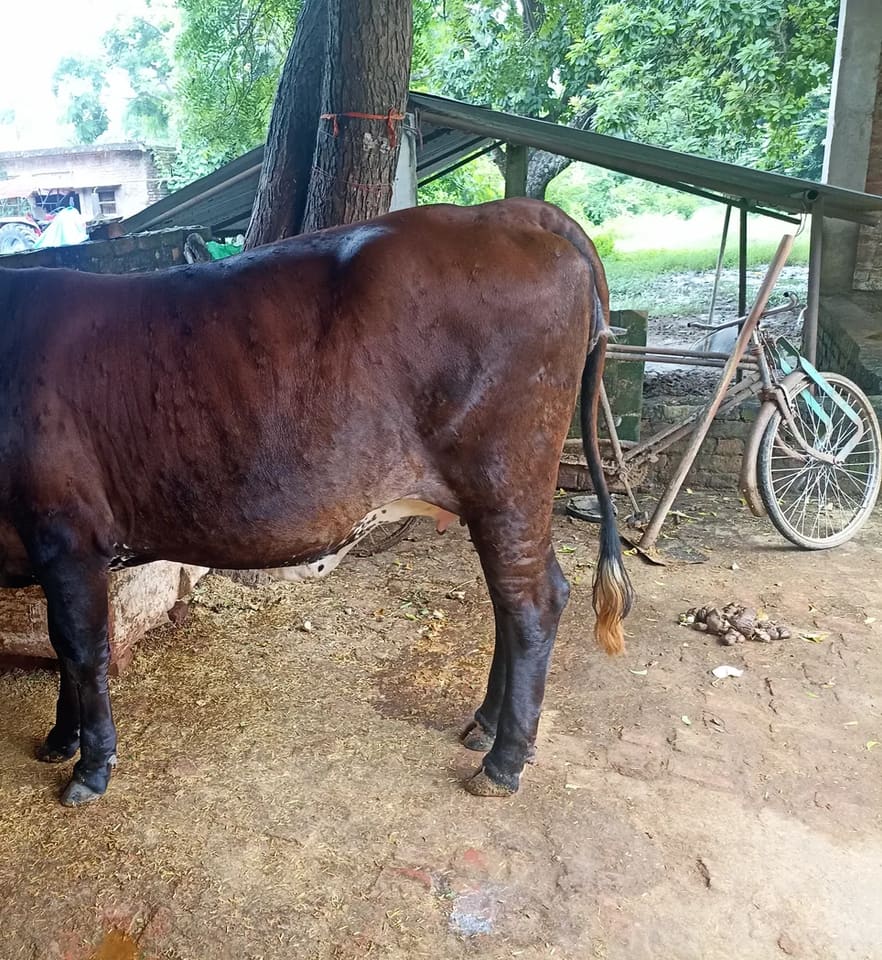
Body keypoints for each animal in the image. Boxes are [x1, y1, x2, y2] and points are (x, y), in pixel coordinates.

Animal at [0, 198, 634, 807]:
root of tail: (506, 212)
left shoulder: (67, 536)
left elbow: (81, 649)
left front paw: (89, 767)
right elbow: (61, 648)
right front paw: (61, 738)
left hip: (508, 482)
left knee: (531, 602)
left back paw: (503, 763)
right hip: (497, 500)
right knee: (512, 600)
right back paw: (486, 727)